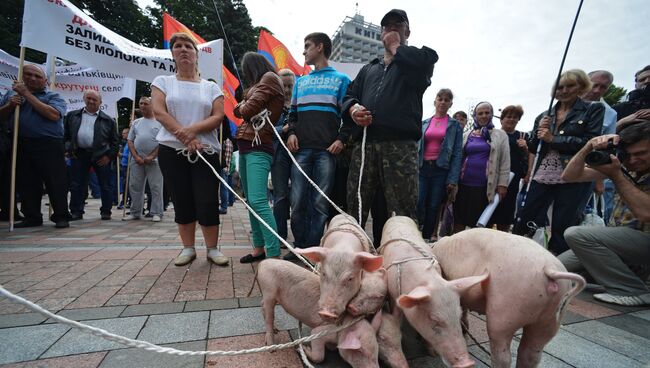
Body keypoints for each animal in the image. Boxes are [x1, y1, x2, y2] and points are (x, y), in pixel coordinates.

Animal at [380, 216, 480, 368]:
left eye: (458, 315)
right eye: (434, 320)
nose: (467, 363)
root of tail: (398, 216)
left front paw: (432, 353)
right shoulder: (393, 294)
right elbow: (397, 317)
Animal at [432, 229, 584, 368]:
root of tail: (550, 269)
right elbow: (463, 308)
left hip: (503, 312)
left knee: (502, 354)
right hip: (550, 320)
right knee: (531, 353)